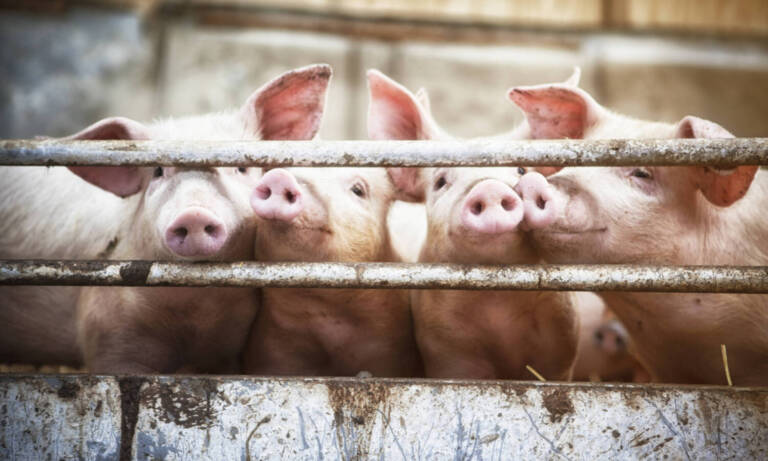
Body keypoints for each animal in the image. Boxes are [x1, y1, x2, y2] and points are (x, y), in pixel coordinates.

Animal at [367, 70, 578, 380]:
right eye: (441, 181)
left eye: (521, 169)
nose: (489, 187)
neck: (496, 304)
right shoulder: (447, 349)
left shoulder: (561, 346)